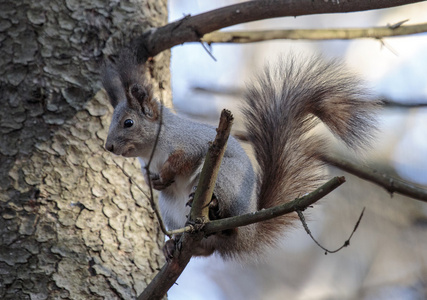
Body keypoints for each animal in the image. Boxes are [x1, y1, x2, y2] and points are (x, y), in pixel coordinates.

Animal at [103, 49, 382, 260]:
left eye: (128, 123)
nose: (108, 147)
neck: (153, 151)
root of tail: (249, 234)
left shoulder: (192, 142)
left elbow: (183, 160)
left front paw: (166, 173)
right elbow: (151, 177)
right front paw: (155, 181)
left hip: (226, 179)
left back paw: (214, 206)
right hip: (172, 210)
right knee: (207, 249)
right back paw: (172, 245)